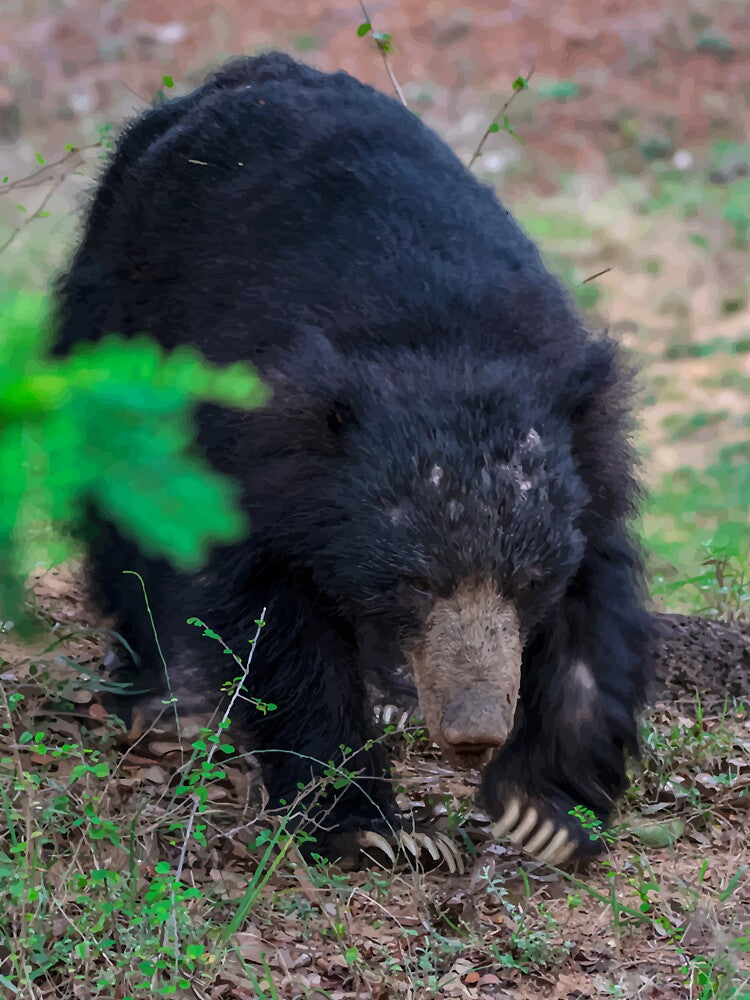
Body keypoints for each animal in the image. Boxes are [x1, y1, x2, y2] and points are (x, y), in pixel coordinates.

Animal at [54, 51, 651, 870]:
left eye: (529, 582)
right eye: (416, 582)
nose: (473, 733)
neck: (442, 342)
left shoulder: (581, 463)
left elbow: (598, 610)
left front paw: (543, 812)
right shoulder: (262, 458)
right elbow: (283, 625)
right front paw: (370, 825)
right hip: (121, 323)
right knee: (128, 508)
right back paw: (165, 698)